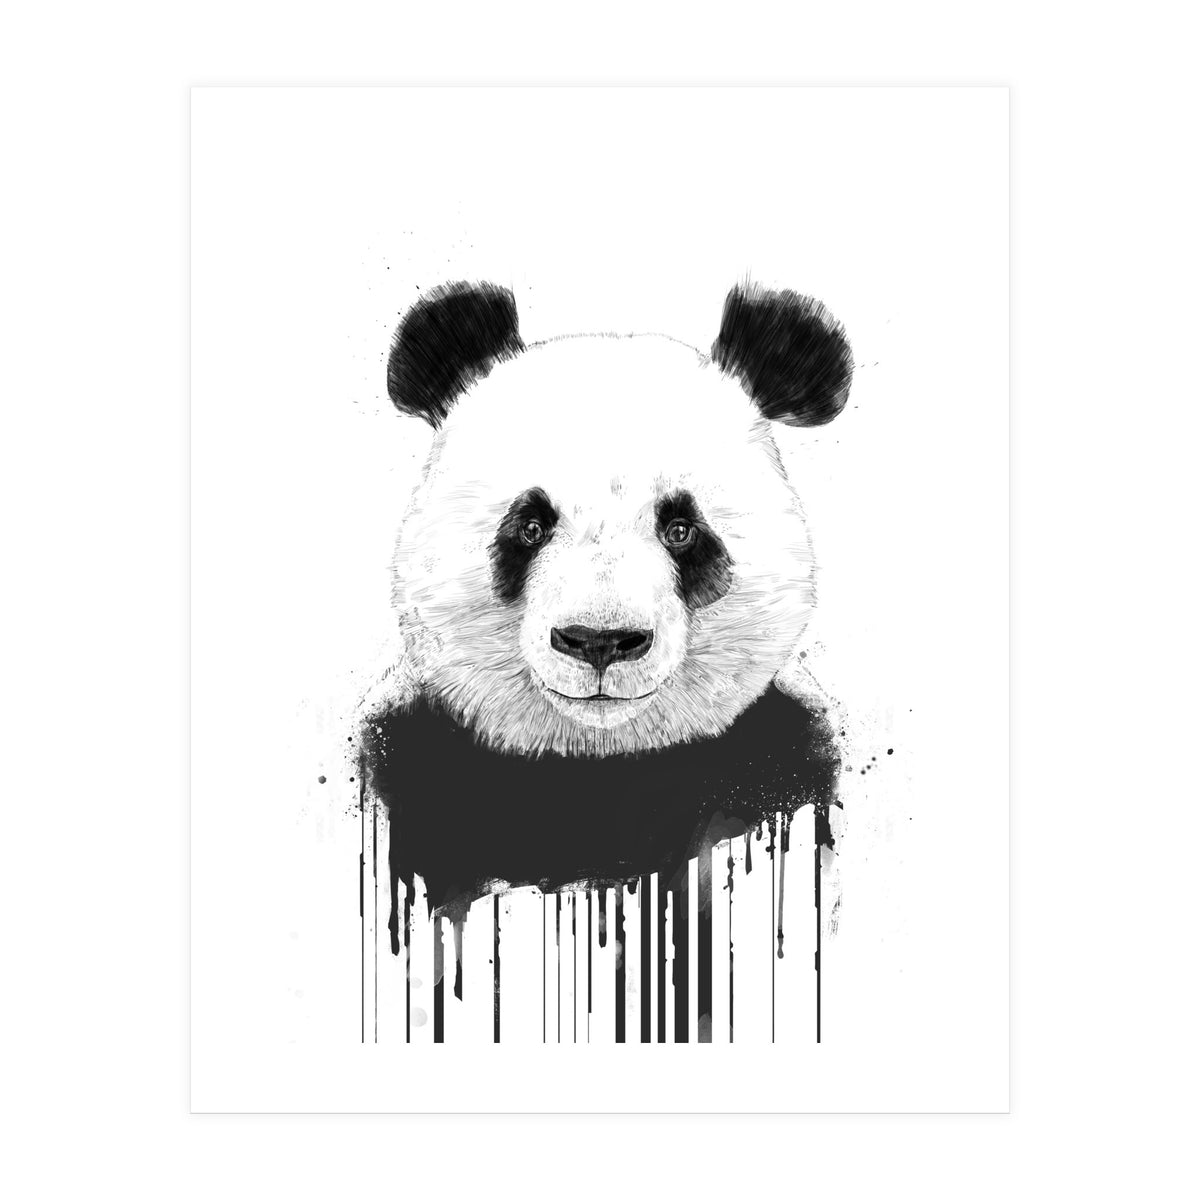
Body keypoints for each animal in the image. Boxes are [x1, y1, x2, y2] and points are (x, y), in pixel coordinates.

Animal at [360, 280, 850, 937]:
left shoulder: (779, 757)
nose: (599, 641)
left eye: (681, 529)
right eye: (530, 526)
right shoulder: (415, 757)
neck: (598, 764)